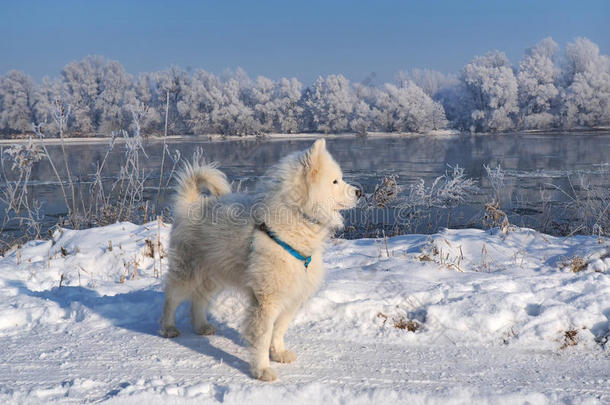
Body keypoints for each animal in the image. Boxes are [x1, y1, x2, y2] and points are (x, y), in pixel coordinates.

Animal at [160, 138, 360, 378]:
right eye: (335, 181)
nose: (360, 191)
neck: (294, 220)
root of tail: (190, 203)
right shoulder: (267, 298)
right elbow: (263, 336)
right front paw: (262, 369)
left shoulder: (292, 294)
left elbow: (279, 330)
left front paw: (279, 353)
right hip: (188, 271)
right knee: (172, 297)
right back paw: (168, 328)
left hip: (214, 274)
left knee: (198, 298)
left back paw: (201, 326)